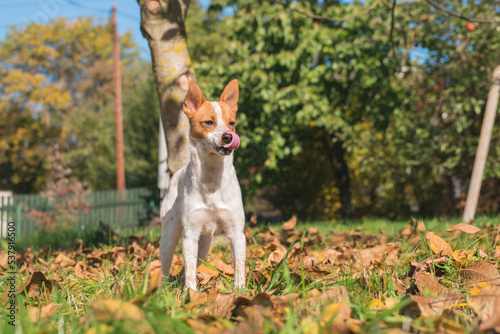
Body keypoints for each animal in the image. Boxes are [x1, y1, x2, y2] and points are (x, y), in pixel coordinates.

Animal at [160, 79, 246, 290]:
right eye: (209, 122)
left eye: (231, 123)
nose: (228, 136)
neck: (212, 178)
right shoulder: (190, 235)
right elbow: (190, 270)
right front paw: (191, 294)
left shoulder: (237, 233)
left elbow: (239, 266)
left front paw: (240, 290)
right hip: (170, 237)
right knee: (166, 266)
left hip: (205, 246)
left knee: (185, 269)